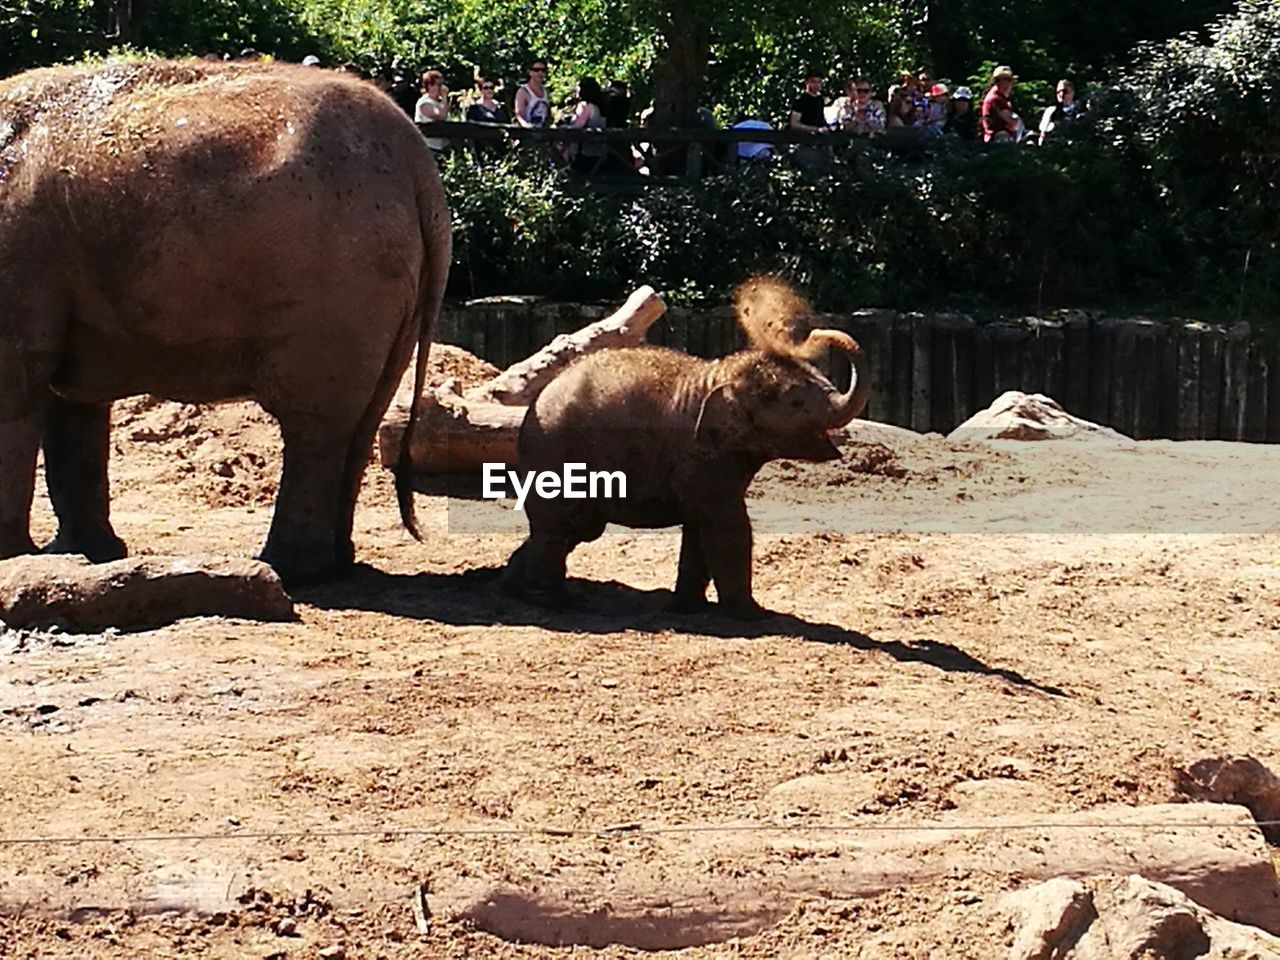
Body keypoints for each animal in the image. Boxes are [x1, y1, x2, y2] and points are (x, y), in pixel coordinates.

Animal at [0, 62, 450, 586]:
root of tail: (418, 164)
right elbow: (72, 403)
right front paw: (82, 556)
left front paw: (21, 560)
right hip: (393, 292)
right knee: (361, 420)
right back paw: (336, 564)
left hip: (342, 283)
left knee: (315, 423)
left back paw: (289, 569)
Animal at [499, 277, 870, 624]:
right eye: (796, 401)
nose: (811, 331)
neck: (718, 374)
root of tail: (531, 411)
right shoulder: (702, 458)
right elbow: (730, 524)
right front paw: (753, 615)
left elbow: (698, 527)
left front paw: (688, 608)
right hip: (557, 458)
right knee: (560, 525)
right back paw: (555, 602)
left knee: (574, 528)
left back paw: (515, 587)